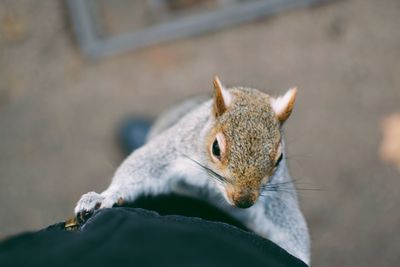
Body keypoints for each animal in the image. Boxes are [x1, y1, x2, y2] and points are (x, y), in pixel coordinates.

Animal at [76, 77, 312, 266]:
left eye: (279, 159)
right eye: (216, 148)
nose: (243, 201)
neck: (213, 186)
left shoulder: (275, 195)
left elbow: (287, 222)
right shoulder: (175, 148)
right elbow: (143, 164)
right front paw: (104, 196)